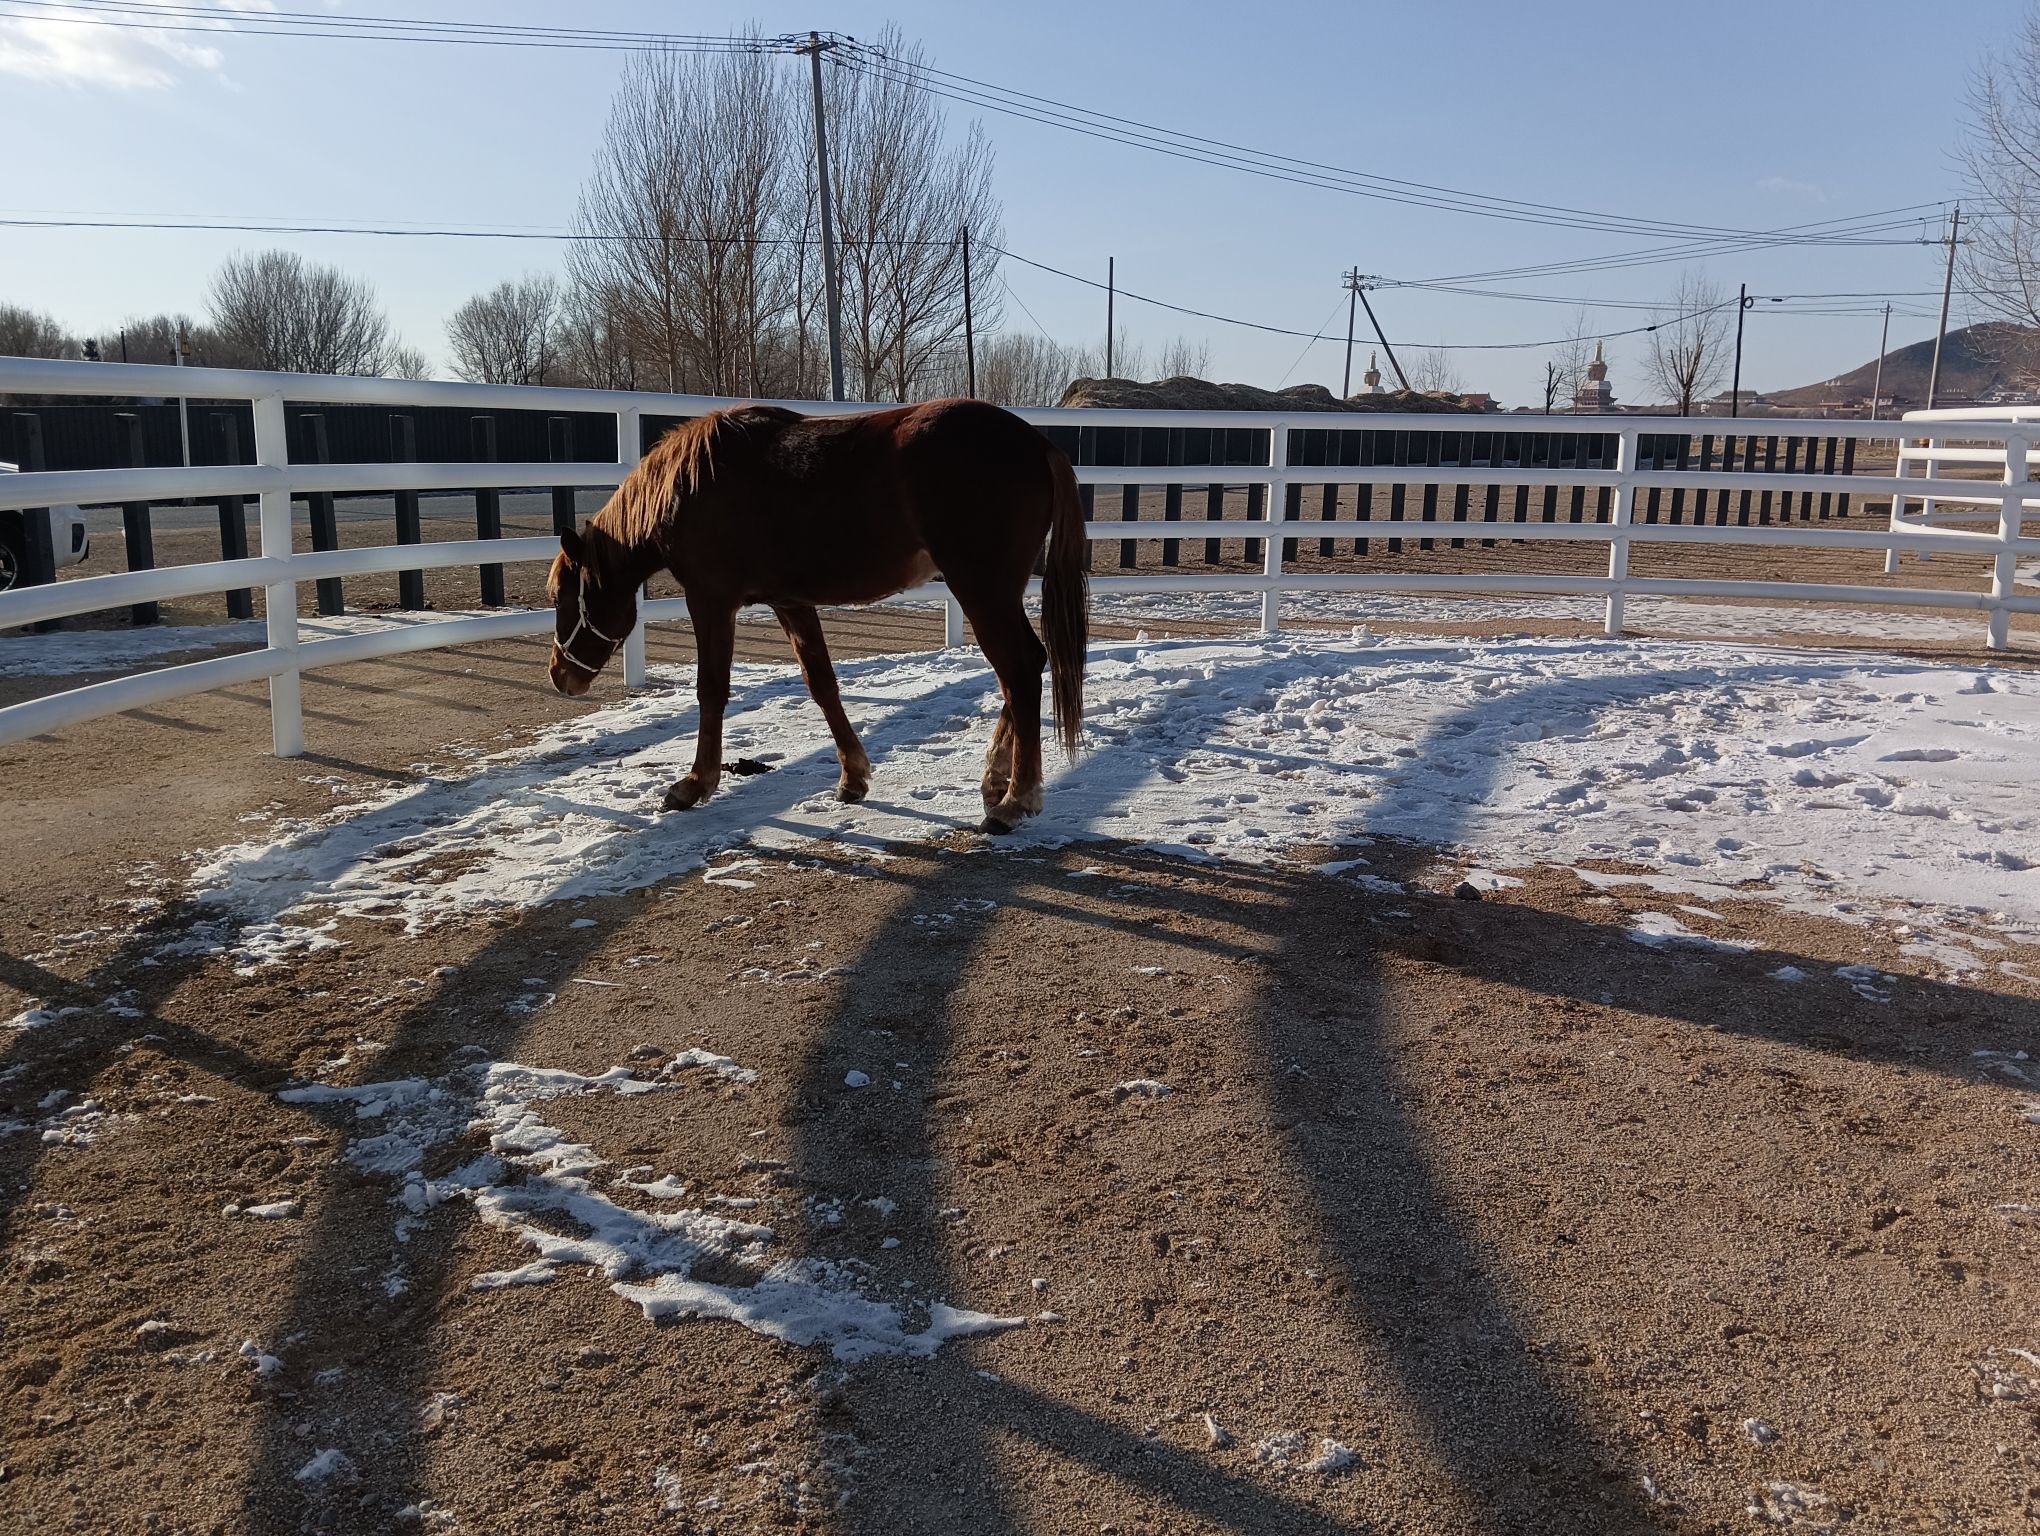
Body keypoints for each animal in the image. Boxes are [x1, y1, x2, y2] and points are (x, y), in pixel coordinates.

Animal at [546, 397, 1089, 833]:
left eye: (561, 596)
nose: (559, 676)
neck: (694, 485)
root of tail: (1037, 442)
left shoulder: (710, 601)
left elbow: (712, 690)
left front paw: (694, 784)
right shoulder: (791, 602)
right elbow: (821, 683)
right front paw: (853, 777)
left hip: (981, 588)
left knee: (1019, 669)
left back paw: (1015, 800)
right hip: (990, 592)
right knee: (1020, 670)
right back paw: (995, 780)